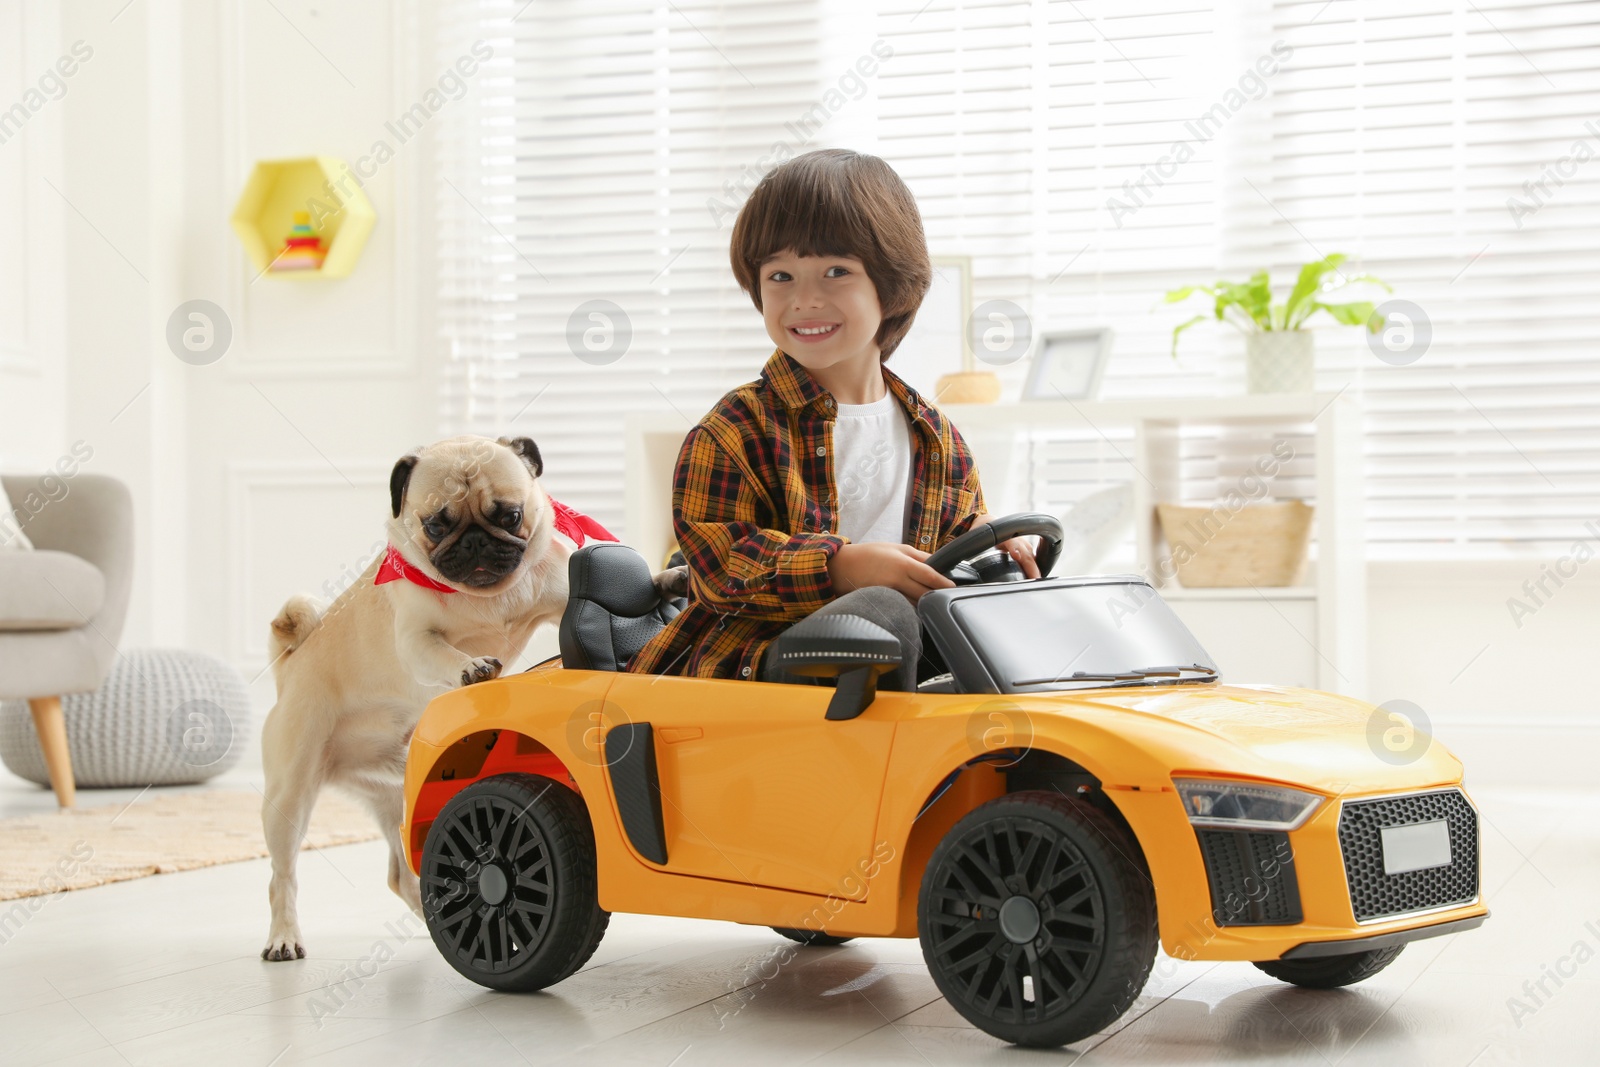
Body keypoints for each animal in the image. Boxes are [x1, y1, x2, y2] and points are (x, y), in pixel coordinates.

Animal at [257, 431, 636, 959]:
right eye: (436, 524)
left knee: (400, 873)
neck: (484, 600)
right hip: (291, 791)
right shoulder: (416, 641)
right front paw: (470, 668)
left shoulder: (559, 595)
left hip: (392, 793)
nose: (475, 539)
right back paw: (284, 936)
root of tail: (289, 663)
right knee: (282, 876)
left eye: (510, 516)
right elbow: (443, 653)